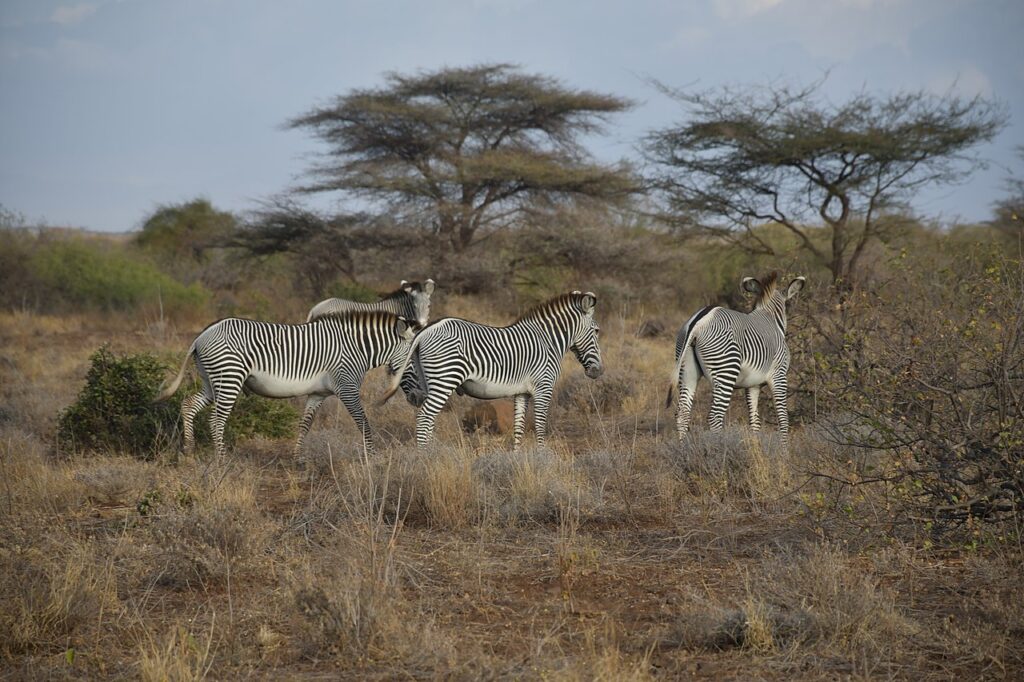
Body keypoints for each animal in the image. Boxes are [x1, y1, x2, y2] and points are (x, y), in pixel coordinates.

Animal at [155, 310, 416, 457]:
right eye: (414, 357)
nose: (416, 397)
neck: (357, 348)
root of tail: (202, 335)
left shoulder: (318, 393)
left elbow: (305, 425)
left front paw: (298, 459)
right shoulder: (347, 387)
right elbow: (363, 423)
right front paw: (371, 457)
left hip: (212, 380)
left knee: (188, 404)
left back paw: (189, 450)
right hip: (229, 377)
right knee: (216, 420)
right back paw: (221, 460)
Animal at [380, 291, 603, 448]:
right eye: (596, 331)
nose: (598, 372)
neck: (547, 341)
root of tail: (426, 330)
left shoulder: (522, 392)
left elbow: (519, 427)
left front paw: (517, 459)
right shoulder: (544, 387)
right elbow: (540, 425)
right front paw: (542, 458)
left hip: (429, 380)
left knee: (428, 419)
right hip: (445, 378)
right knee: (424, 418)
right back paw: (425, 457)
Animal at [666, 273, 805, 445]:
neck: (770, 318)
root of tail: (698, 322)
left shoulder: (753, 384)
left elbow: (755, 421)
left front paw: (756, 447)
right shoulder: (779, 376)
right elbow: (783, 418)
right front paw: (783, 450)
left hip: (686, 368)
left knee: (682, 413)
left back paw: (683, 448)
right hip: (726, 369)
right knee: (714, 417)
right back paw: (718, 449)